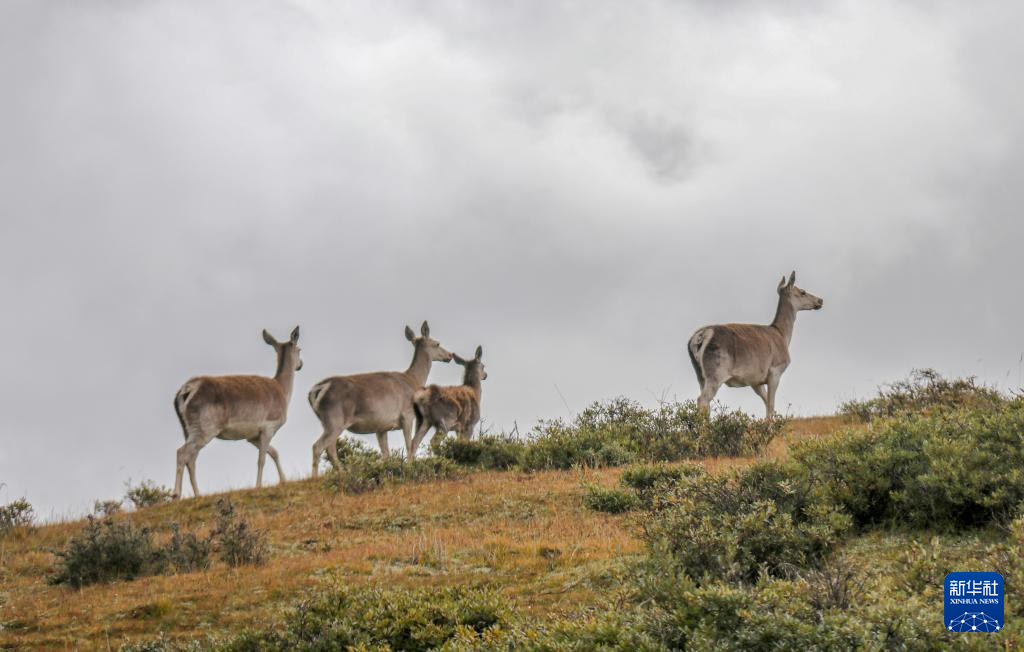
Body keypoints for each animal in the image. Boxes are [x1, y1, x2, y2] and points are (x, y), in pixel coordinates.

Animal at [171, 325, 299, 497]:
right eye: (299, 349)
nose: (300, 364)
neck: (283, 392)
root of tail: (186, 390)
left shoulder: (252, 436)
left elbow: (274, 452)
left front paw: (283, 480)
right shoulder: (269, 426)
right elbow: (261, 459)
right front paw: (258, 486)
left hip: (188, 429)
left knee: (191, 459)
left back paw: (198, 495)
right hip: (205, 428)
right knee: (182, 453)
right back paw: (175, 494)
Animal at [307, 317, 452, 470]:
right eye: (437, 343)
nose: (450, 355)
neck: (413, 380)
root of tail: (317, 389)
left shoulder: (382, 427)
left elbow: (386, 454)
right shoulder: (407, 415)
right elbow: (410, 445)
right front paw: (409, 467)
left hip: (326, 421)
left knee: (330, 448)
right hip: (335, 419)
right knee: (318, 447)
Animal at [688, 270, 823, 417]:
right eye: (803, 292)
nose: (820, 300)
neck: (783, 336)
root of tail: (699, 337)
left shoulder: (756, 380)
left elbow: (766, 403)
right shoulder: (775, 370)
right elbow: (771, 405)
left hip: (700, 374)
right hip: (717, 371)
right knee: (702, 399)